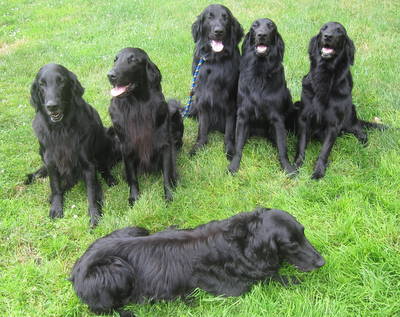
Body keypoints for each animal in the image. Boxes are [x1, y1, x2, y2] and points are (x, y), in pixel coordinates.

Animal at [27, 63, 118, 227]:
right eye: (41, 84)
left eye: (61, 81)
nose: (52, 106)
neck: (61, 129)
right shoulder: (50, 162)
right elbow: (55, 186)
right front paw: (56, 207)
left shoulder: (88, 164)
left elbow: (92, 192)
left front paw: (95, 215)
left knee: (104, 168)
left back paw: (110, 179)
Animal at [70, 207, 324, 316]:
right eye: (292, 244)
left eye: (304, 233)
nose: (322, 262)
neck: (241, 241)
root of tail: (76, 271)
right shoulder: (233, 288)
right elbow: (274, 278)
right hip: (116, 272)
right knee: (102, 309)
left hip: (135, 229)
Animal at [108, 47, 186, 204]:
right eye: (115, 59)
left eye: (132, 59)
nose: (110, 75)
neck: (137, 106)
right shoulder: (127, 146)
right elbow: (132, 177)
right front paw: (134, 198)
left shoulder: (165, 144)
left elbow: (167, 174)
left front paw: (169, 196)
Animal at [228, 18, 296, 174]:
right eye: (255, 26)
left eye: (271, 26)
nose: (262, 35)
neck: (260, 72)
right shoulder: (243, 116)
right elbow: (238, 147)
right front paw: (234, 165)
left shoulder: (277, 119)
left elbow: (282, 148)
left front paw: (287, 167)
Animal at [294, 22, 384, 179]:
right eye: (323, 28)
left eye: (339, 31)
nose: (327, 36)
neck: (324, 75)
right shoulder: (304, 118)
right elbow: (301, 145)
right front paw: (297, 165)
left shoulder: (333, 125)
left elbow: (324, 151)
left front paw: (318, 171)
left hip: (350, 121)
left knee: (361, 132)